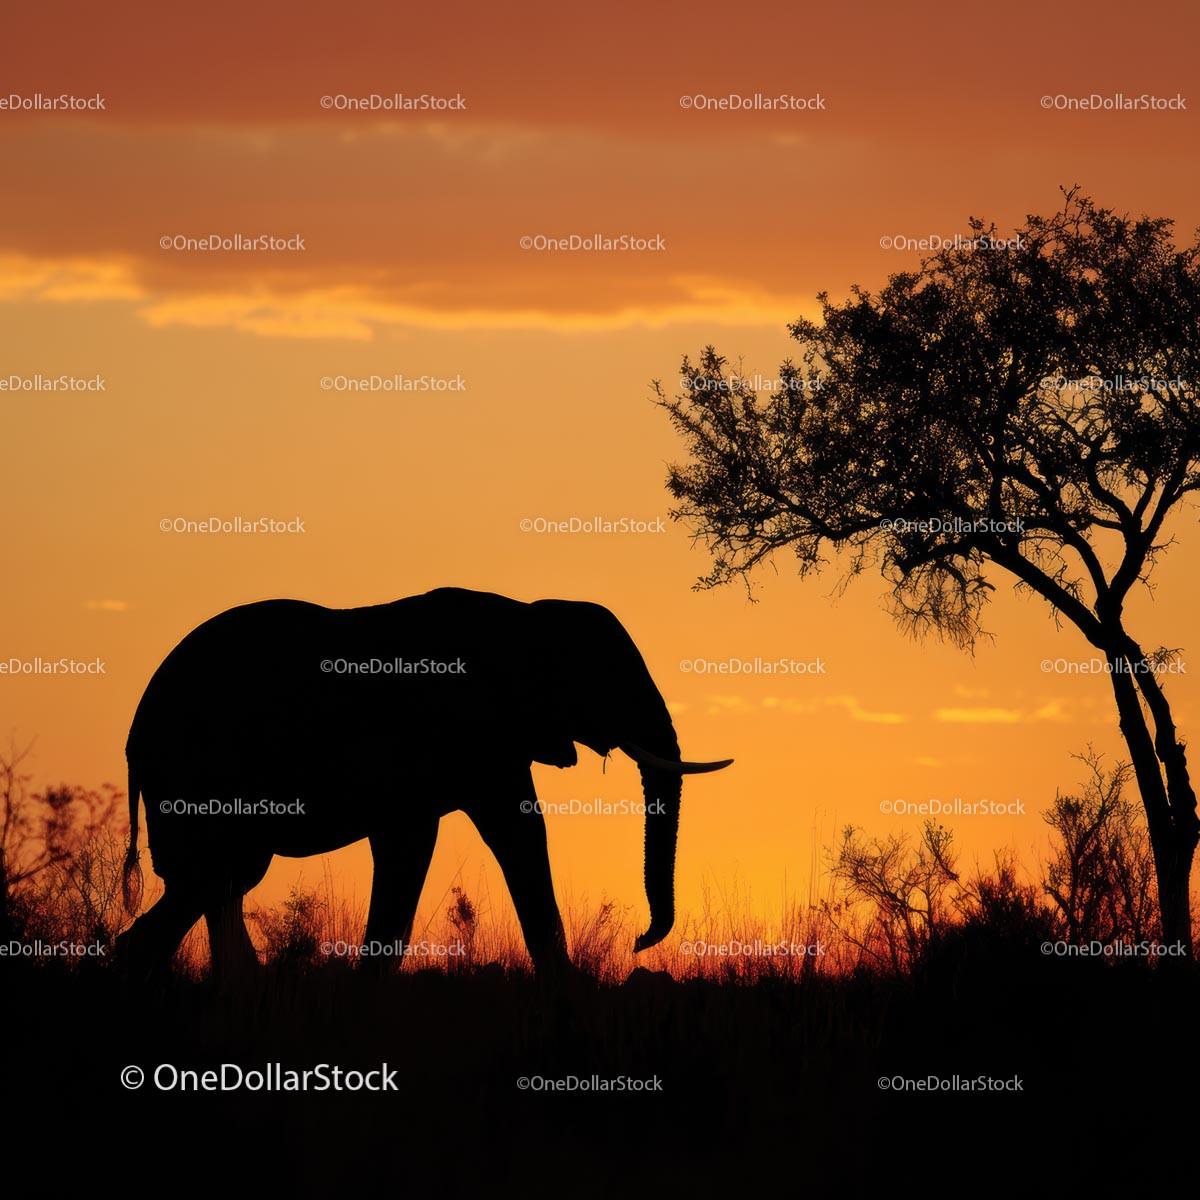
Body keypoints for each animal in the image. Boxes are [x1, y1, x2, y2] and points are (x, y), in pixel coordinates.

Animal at [117, 587, 732, 976]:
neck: (526, 617)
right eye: (605, 678)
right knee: (208, 880)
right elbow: (437, 842)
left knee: (220, 883)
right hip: (197, 775)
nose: (638, 942)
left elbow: (516, 833)